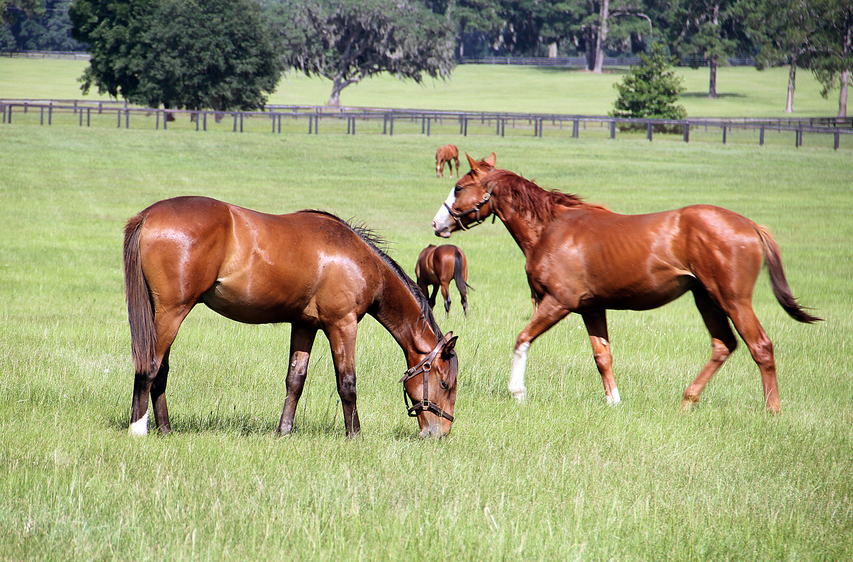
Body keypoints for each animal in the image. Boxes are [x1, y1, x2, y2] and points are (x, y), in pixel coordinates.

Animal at [123, 196, 459, 439]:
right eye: (445, 384)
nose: (440, 433)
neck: (359, 260)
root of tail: (148, 216)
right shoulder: (342, 324)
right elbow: (347, 382)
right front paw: (355, 435)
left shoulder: (304, 325)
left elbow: (295, 379)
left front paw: (284, 431)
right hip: (172, 313)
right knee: (150, 365)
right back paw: (138, 430)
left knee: (161, 371)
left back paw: (166, 431)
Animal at [432, 153, 820, 412]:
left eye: (459, 187)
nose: (437, 224)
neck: (551, 229)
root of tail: (751, 225)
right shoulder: (592, 309)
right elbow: (602, 356)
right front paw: (614, 401)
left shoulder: (558, 302)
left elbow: (522, 339)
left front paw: (517, 391)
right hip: (706, 298)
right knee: (723, 345)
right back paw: (688, 400)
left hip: (733, 300)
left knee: (760, 347)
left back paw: (772, 411)